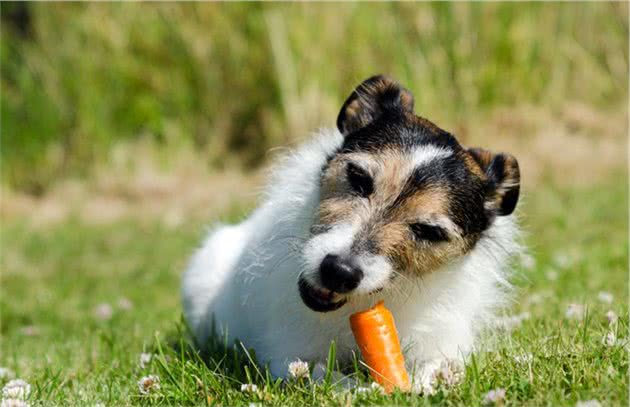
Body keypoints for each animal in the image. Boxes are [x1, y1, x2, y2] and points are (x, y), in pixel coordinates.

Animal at [183, 75, 524, 392]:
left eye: (429, 231)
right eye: (358, 177)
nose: (338, 271)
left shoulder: (442, 345)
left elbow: (440, 367)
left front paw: (424, 385)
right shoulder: (287, 356)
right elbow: (324, 375)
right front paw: (361, 389)